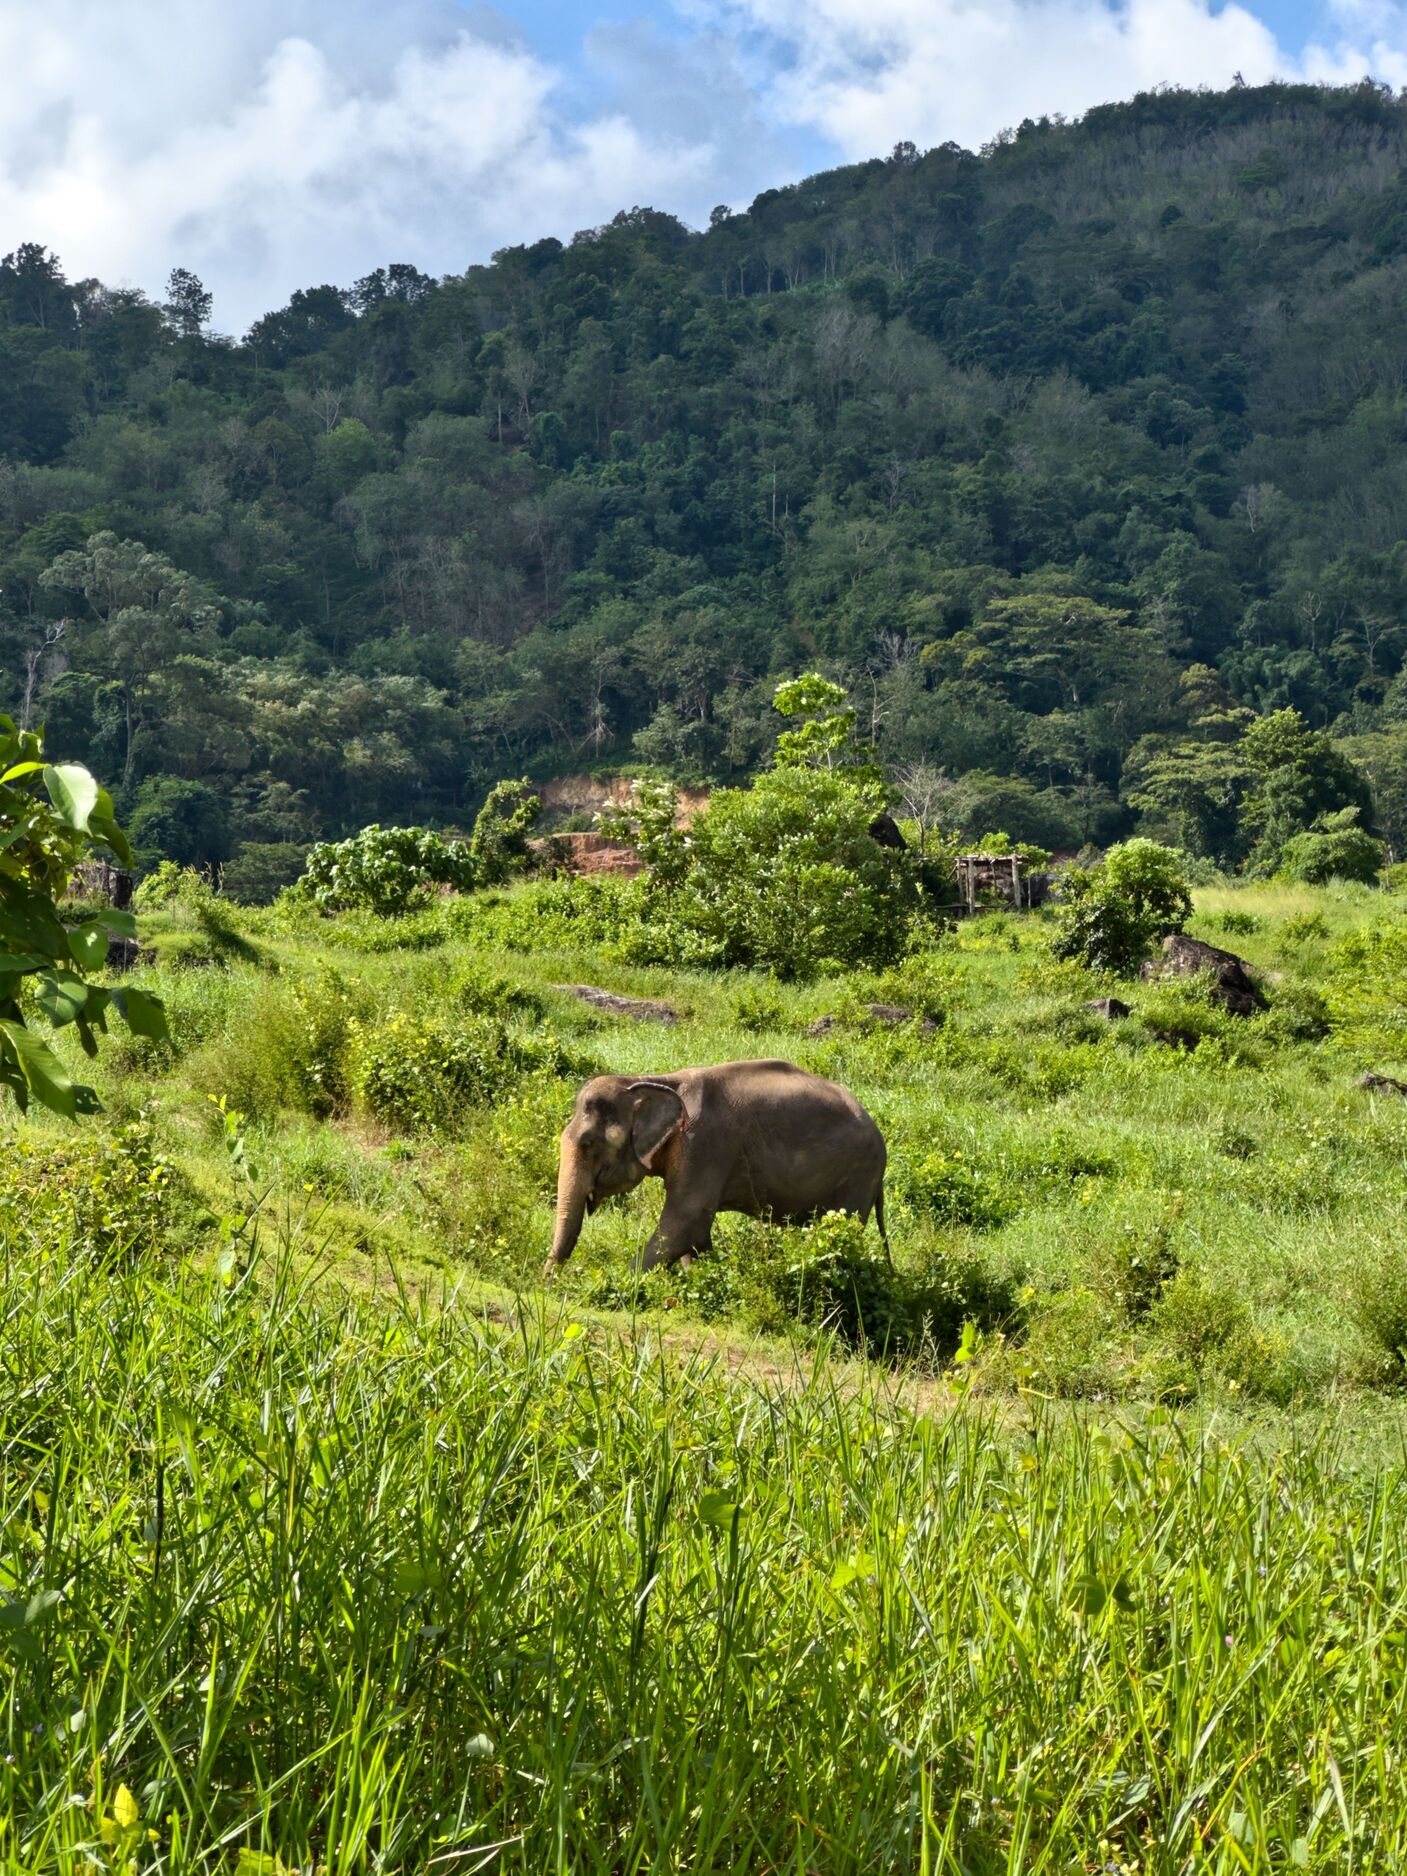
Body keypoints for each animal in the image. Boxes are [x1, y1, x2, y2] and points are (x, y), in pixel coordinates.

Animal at [543, 1058, 888, 1277]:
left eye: (588, 1143)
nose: (549, 1285)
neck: (655, 1079)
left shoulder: (704, 1143)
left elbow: (685, 1219)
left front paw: (617, 1284)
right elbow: (692, 1234)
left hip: (857, 1177)